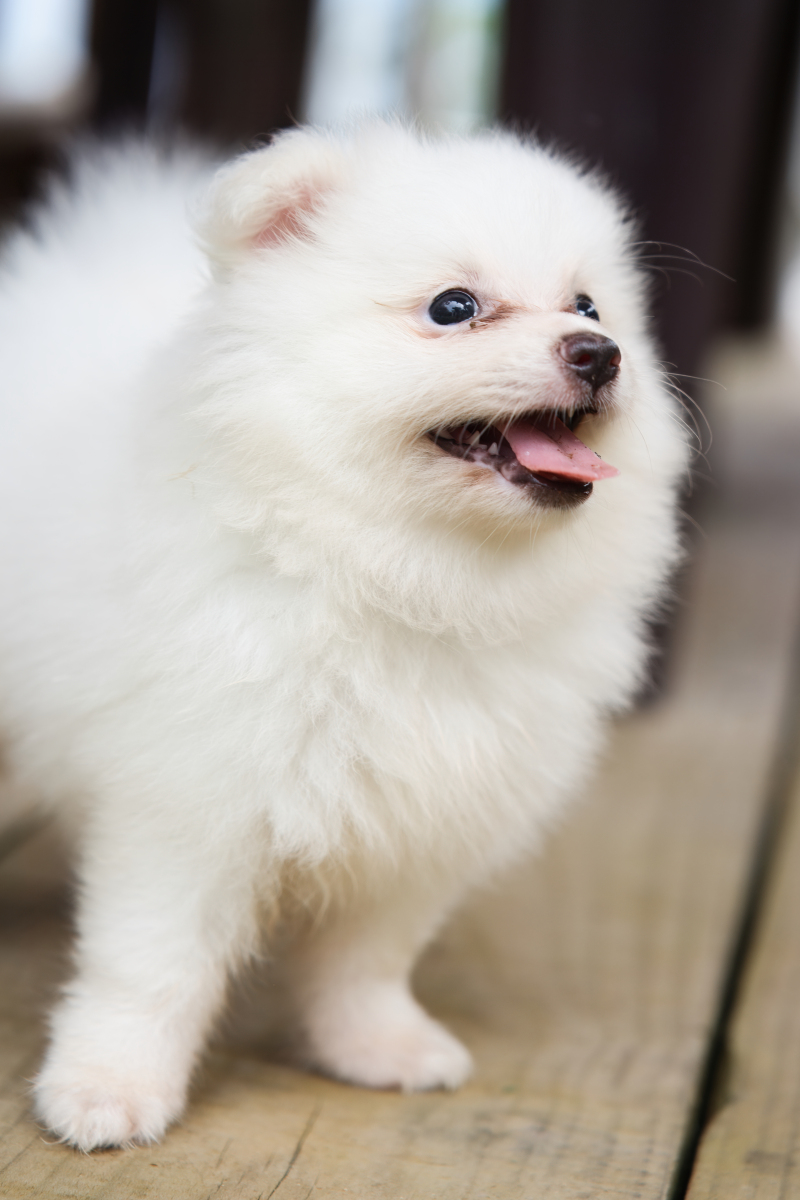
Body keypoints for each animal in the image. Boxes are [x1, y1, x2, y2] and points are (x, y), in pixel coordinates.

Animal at [0, 124, 690, 1152]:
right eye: (454, 307)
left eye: (589, 304)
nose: (600, 354)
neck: (394, 573)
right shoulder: (190, 799)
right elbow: (152, 963)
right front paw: (108, 1087)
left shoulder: (423, 812)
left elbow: (368, 960)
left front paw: (377, 1045)